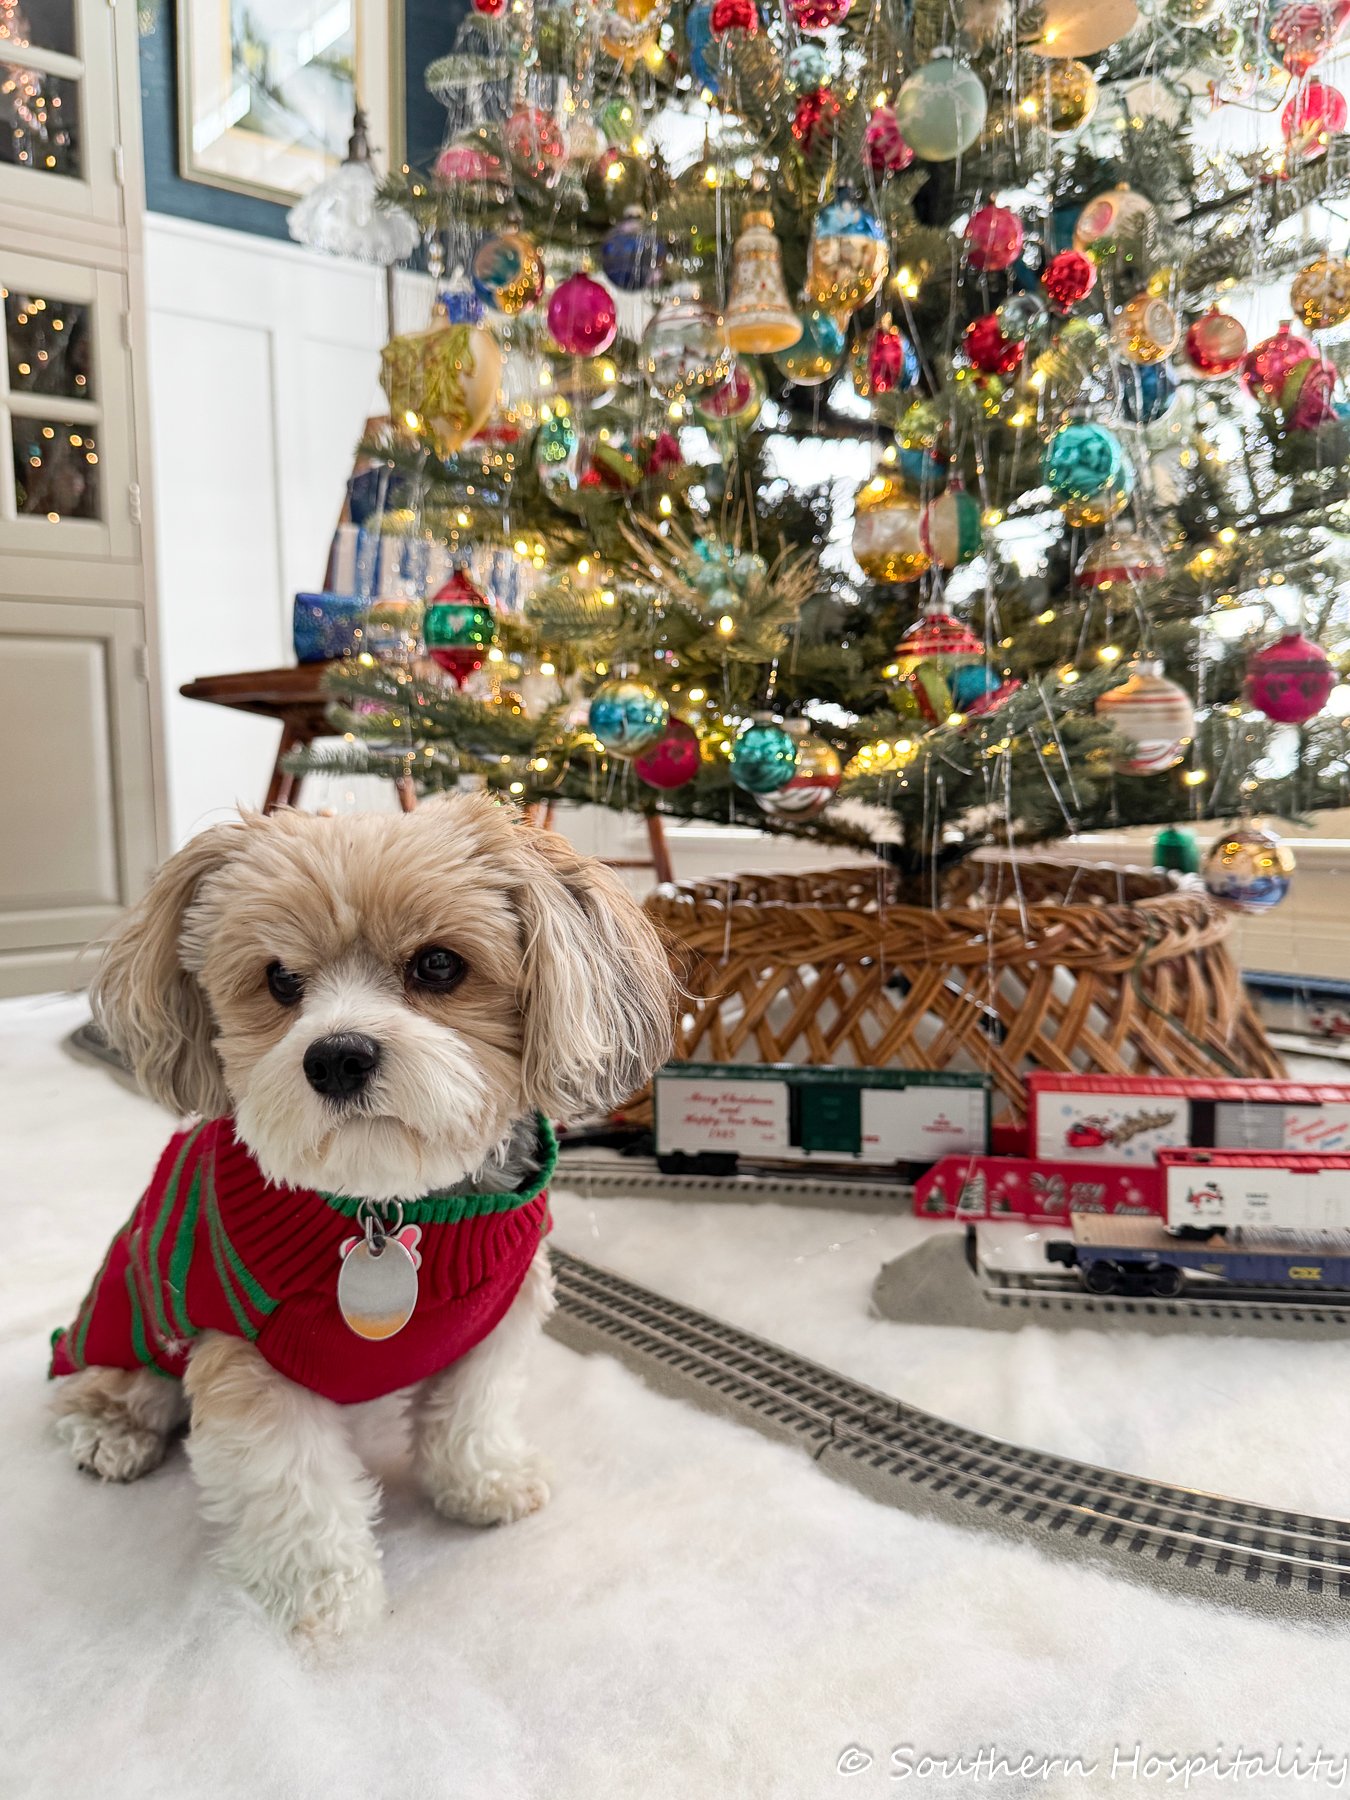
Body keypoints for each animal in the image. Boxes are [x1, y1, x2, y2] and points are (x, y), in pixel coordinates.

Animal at [51, 795, 676, 1641]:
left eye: (438, 965)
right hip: (131, 1317)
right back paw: (110, 1428)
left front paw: (482, 1480)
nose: (336, 1057)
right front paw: (327, 1597)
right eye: (280, 979)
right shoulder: (251, 1363)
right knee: (103, 1382)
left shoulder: (500, 1312)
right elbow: (296, 1491)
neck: (387, 1207)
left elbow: (472, 1408)